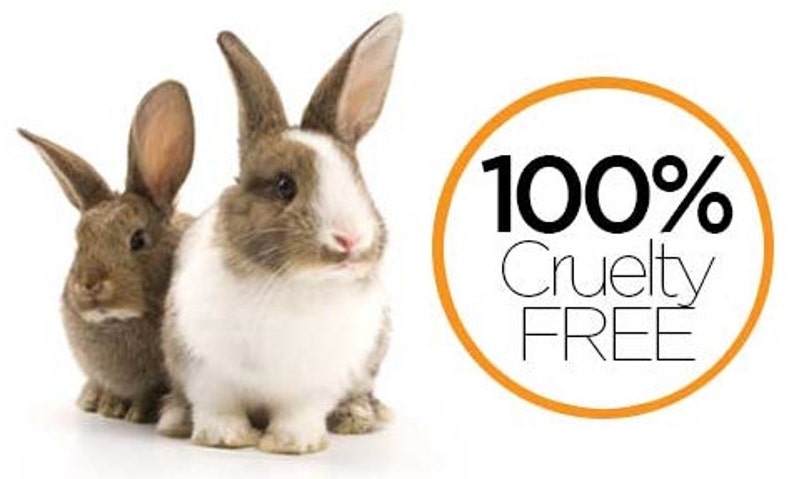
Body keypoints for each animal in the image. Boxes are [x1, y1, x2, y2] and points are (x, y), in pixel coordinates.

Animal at [158, 14, 402, 453]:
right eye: (284, 185)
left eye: (359, 181)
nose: (349, 240)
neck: (293, 285)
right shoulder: (203, 370)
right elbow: (218, 408)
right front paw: (225, 438)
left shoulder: (314, 384)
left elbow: (300, 413)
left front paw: (294, 444)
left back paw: (355, 417)